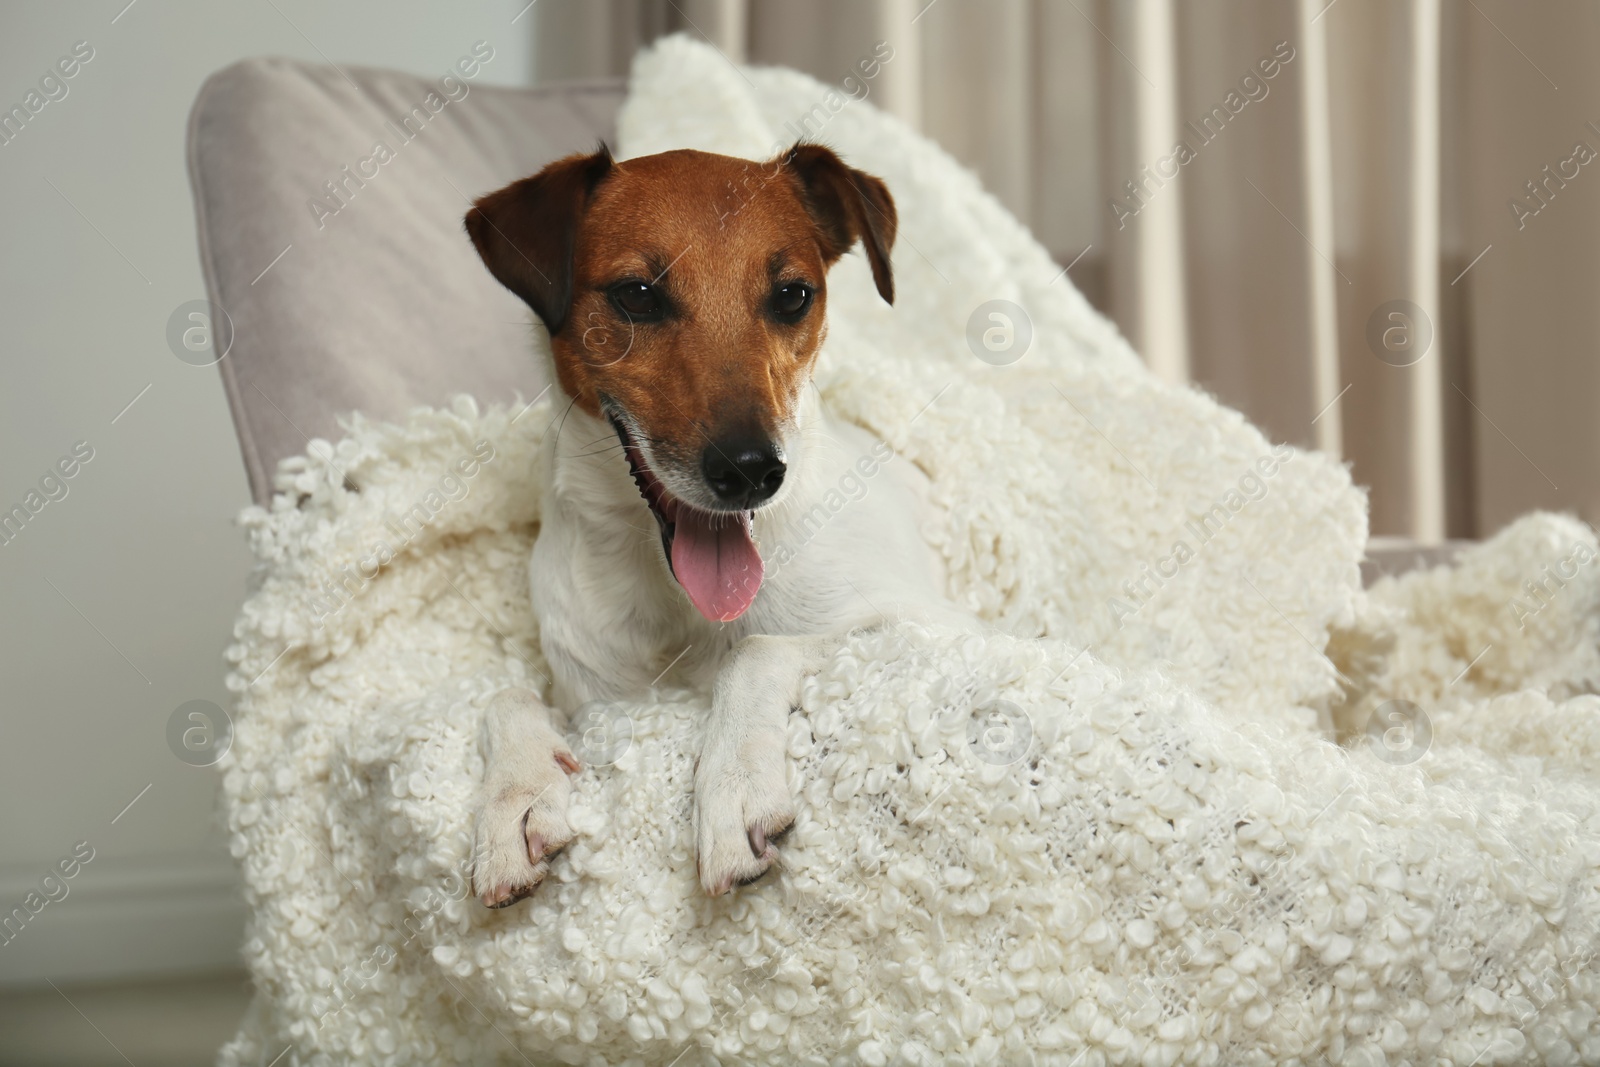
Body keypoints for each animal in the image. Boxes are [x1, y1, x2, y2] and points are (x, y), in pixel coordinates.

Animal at [460, 143, 947, 908]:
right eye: (637, 294)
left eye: (792, 296)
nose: (752, 470)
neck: (681, 605)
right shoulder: (602, 702)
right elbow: (506, 695)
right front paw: (516, 799)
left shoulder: (923, 627)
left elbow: (760, 649)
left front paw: (735, 787)